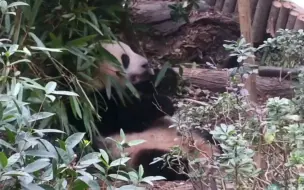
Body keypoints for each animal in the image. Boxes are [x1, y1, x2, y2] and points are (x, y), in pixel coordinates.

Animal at [65, 39, 221, 181]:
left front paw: (165, 76)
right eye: (125, 59)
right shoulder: (88, 102)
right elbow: (123, 118)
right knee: (157, 162)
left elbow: (150, 86)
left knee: (209, 137)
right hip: (136, 152)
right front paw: (164, 103)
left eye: (132, 49)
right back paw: (183, 165)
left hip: (191, 134)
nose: (145, 64)